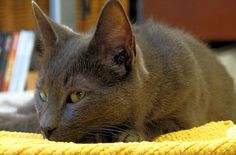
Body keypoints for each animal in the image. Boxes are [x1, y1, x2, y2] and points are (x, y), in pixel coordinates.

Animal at [0, 0, 236, 143]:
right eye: (43, 94)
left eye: (77, 95)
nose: (46, 128)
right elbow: (28, 120)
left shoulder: (188, 116)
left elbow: (163, 123)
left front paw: (127, 134)